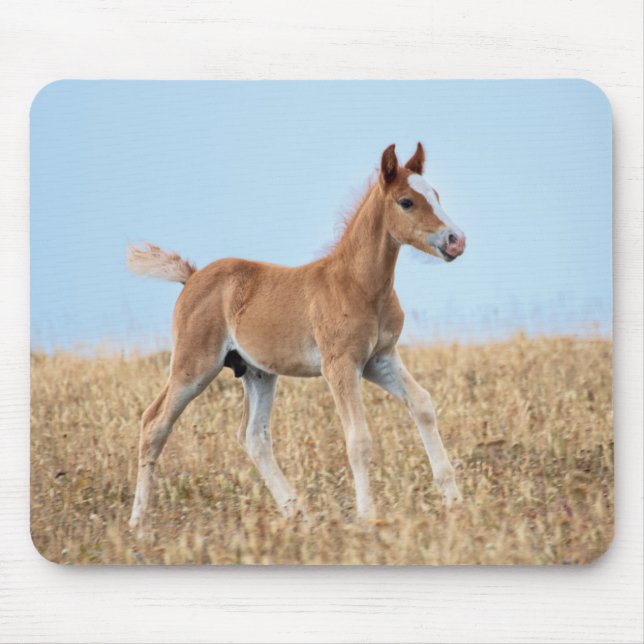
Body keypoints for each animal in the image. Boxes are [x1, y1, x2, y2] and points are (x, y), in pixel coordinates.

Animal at [127, 142, 466, 530]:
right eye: (406, 201)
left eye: (436, 195)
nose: (456, 241)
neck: (357, 285)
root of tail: (192, 276)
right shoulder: (340, 366)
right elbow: (358, 439)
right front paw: (368, 517)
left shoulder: (380, 359)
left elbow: (422, 405)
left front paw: (453, 500)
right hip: (193, 366)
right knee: (154, 423)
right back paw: (138, 522)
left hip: (257, 372)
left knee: (253, 437)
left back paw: (297, 511)